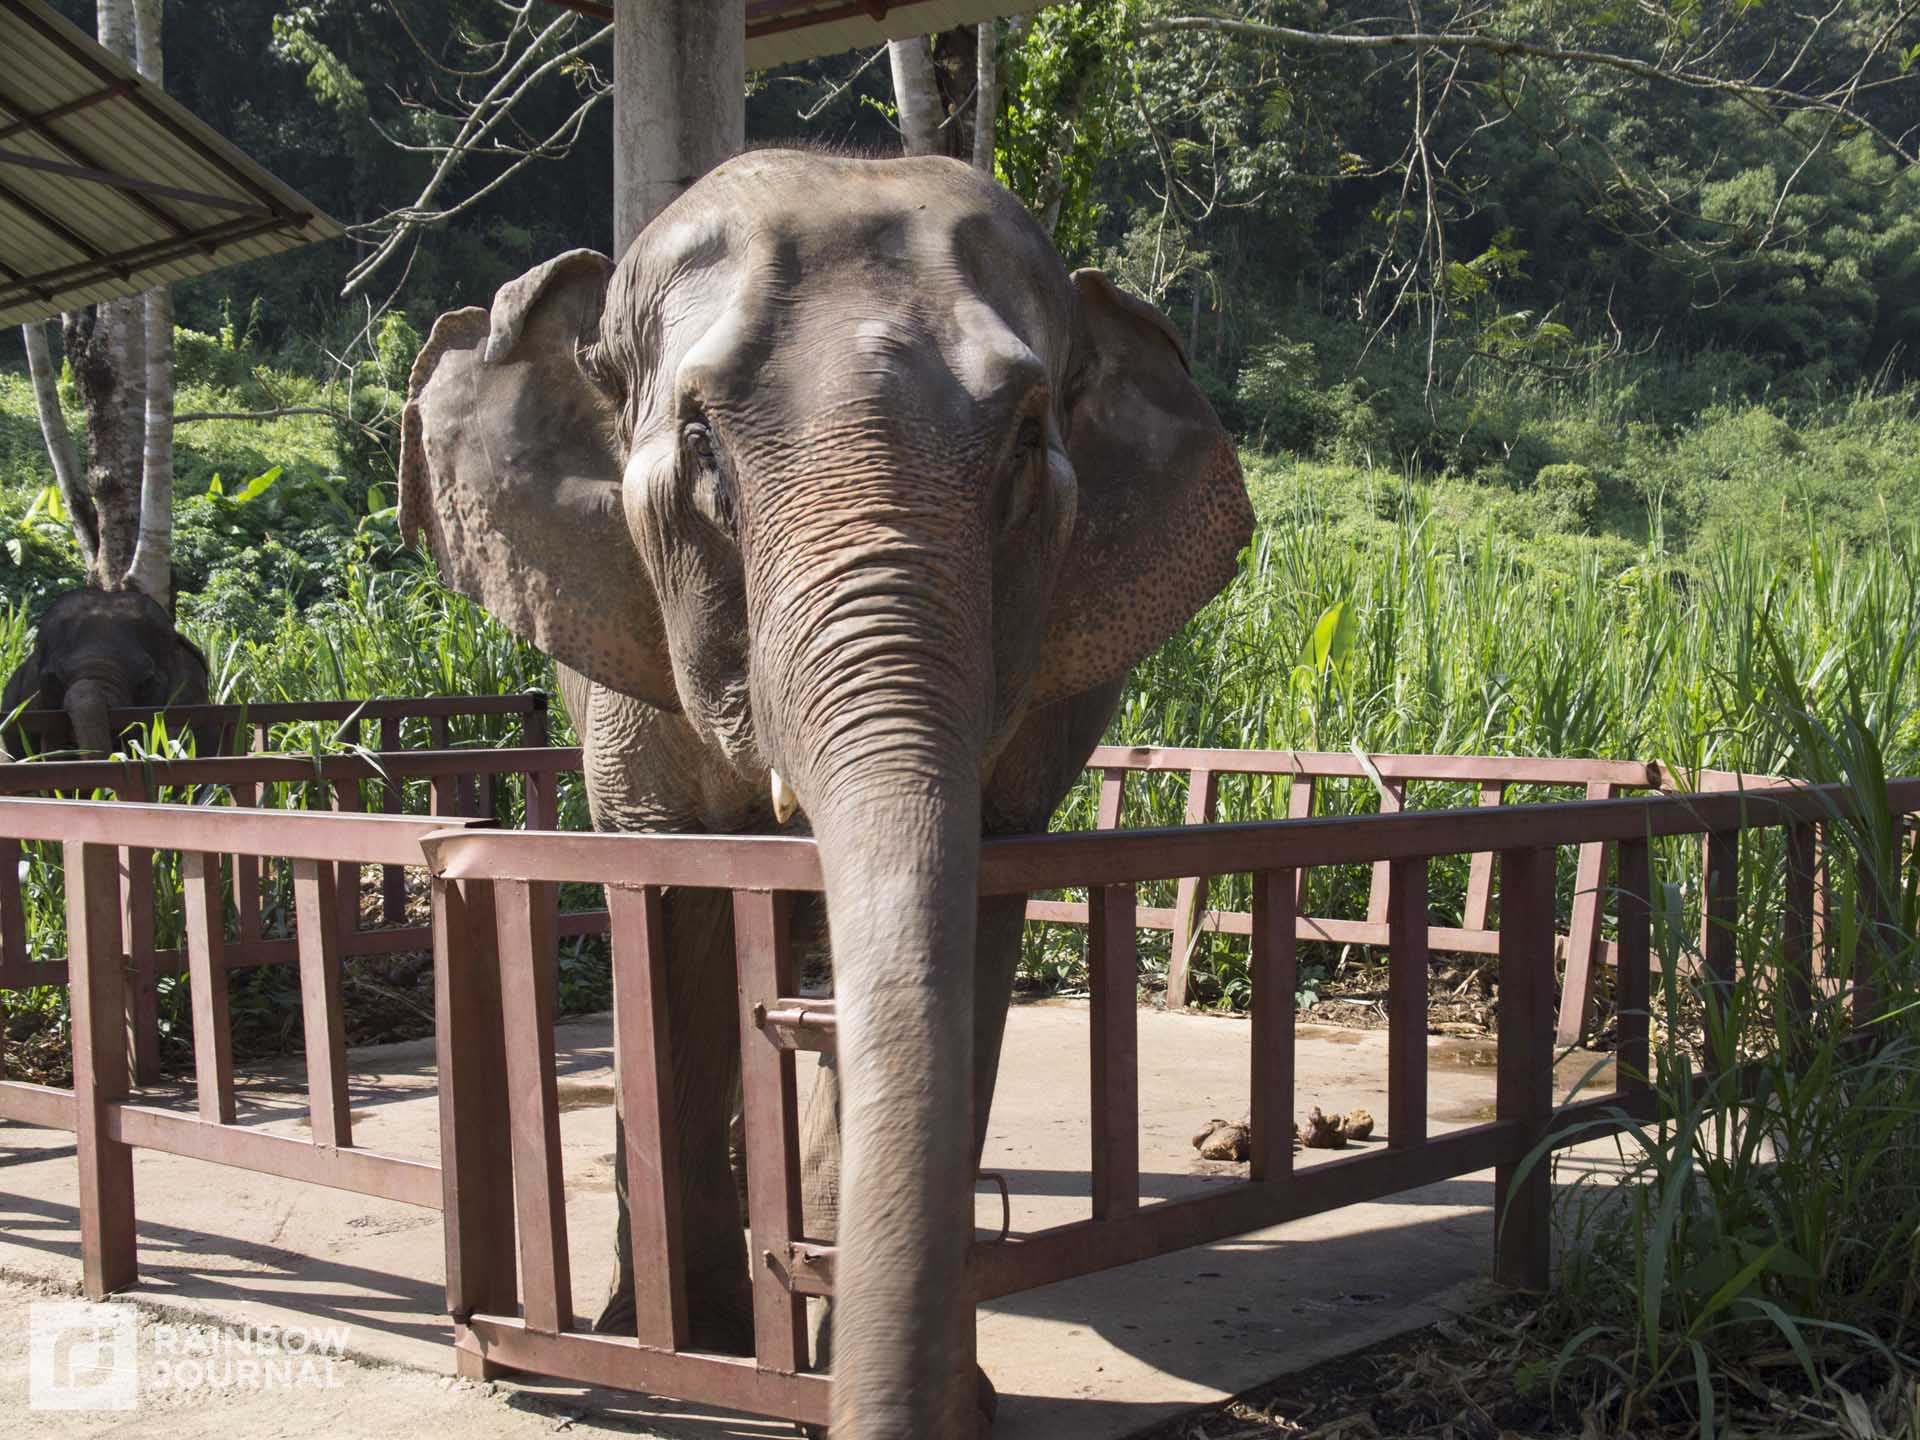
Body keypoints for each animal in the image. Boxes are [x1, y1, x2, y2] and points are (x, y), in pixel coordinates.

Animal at [400, 150, 1253, 1439]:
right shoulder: (629, 683)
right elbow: (677, 922)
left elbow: (957, 939)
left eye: (1027, 438)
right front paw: (689, 1348)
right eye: (700, 440)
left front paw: (929, 1392)